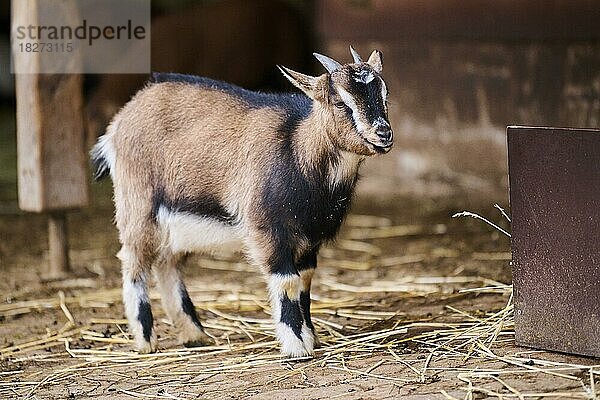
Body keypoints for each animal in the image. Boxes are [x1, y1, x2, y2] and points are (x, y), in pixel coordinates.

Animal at [90, 46, 394, 356]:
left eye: (384, 94)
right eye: (340, 102)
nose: (383, 134)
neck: (298, 149)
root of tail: (118, 123)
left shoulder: (310, 238)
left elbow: (305, 283)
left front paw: (312, 337)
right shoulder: (268, 229)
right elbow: (287, 283)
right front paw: (297, 347)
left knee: (167, 263)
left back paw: (194, 334)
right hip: (138, 205)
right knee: (134, 262)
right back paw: (146, 340)